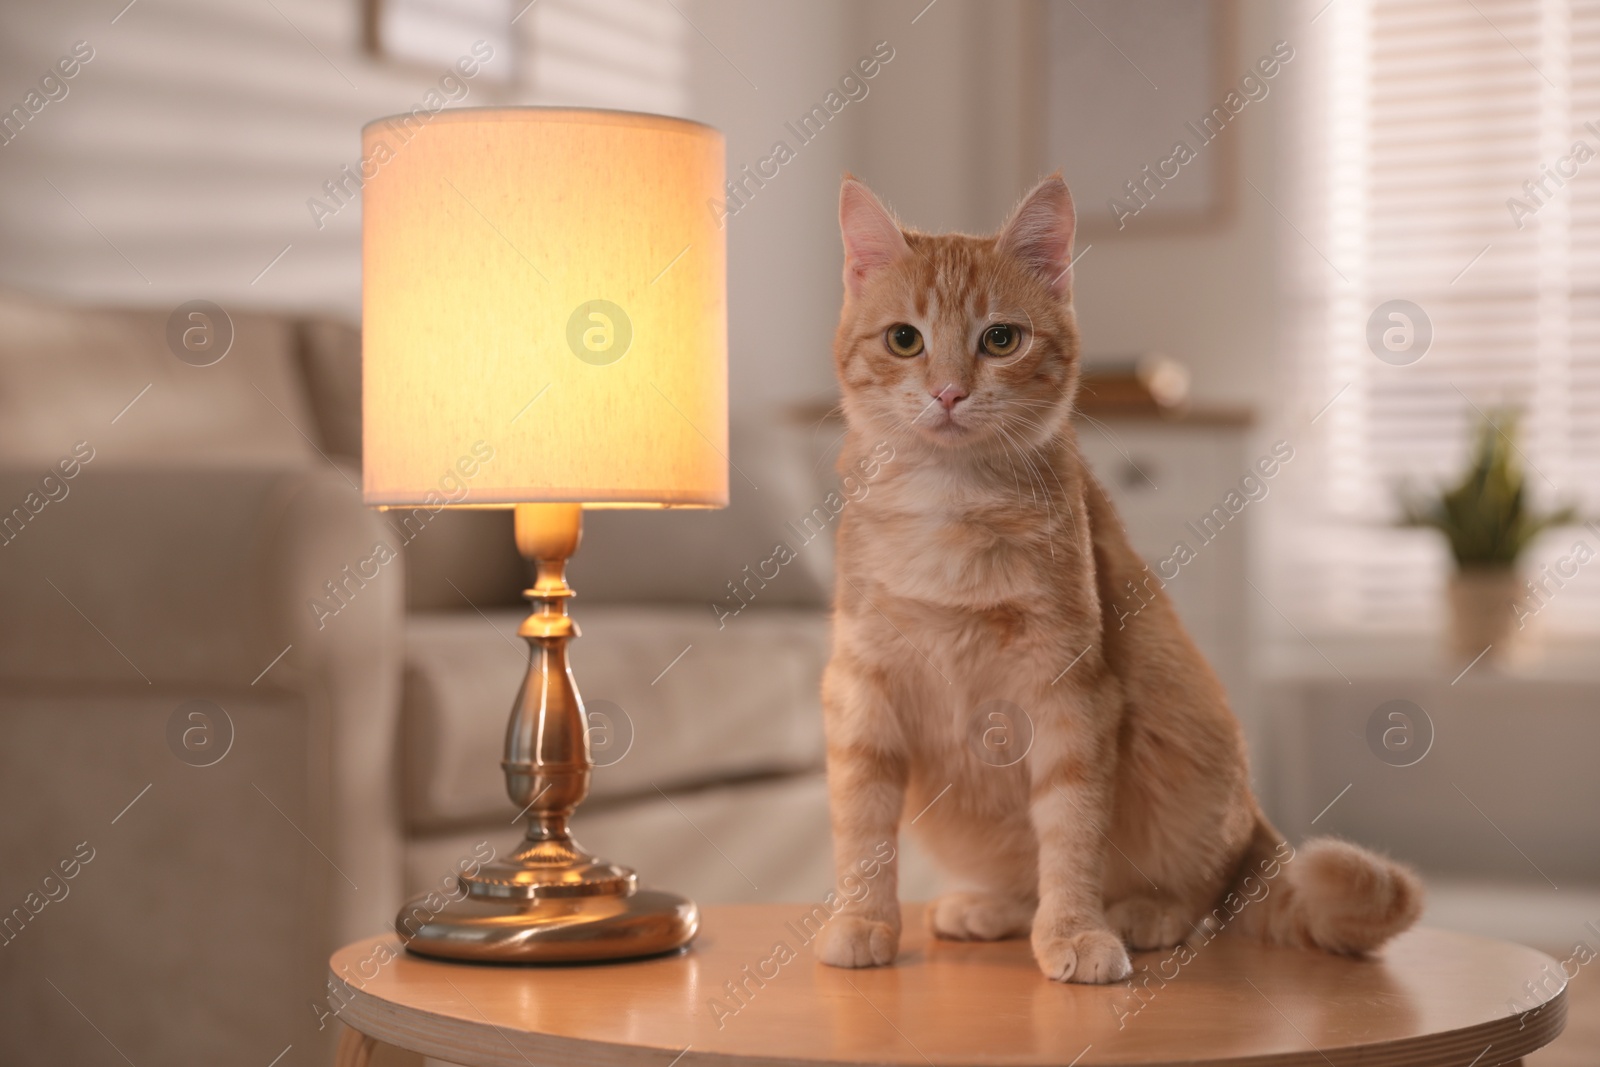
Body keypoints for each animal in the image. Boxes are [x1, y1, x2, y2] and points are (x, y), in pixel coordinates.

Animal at [819, 173, 1420, 985]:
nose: (947, 392)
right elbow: (862, 824)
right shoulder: (861, 684)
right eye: (904, 339)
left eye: (1000, 339)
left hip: (1191, 754)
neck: (948, 502)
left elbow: (1071, 828)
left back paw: (1147, 913)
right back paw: (993, 906)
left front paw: (1076, 930)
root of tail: (1256, 823)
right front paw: (863, 920)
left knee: (1208, 892)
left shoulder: (1071, 689)